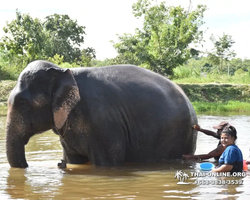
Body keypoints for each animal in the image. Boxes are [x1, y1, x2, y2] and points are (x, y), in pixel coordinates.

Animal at [5, 60, 197, 168]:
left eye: (22, 104)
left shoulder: (102, 122)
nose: (59, 165)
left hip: (178, 134)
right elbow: (74, 160)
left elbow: (106, 163)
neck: (65, 72)